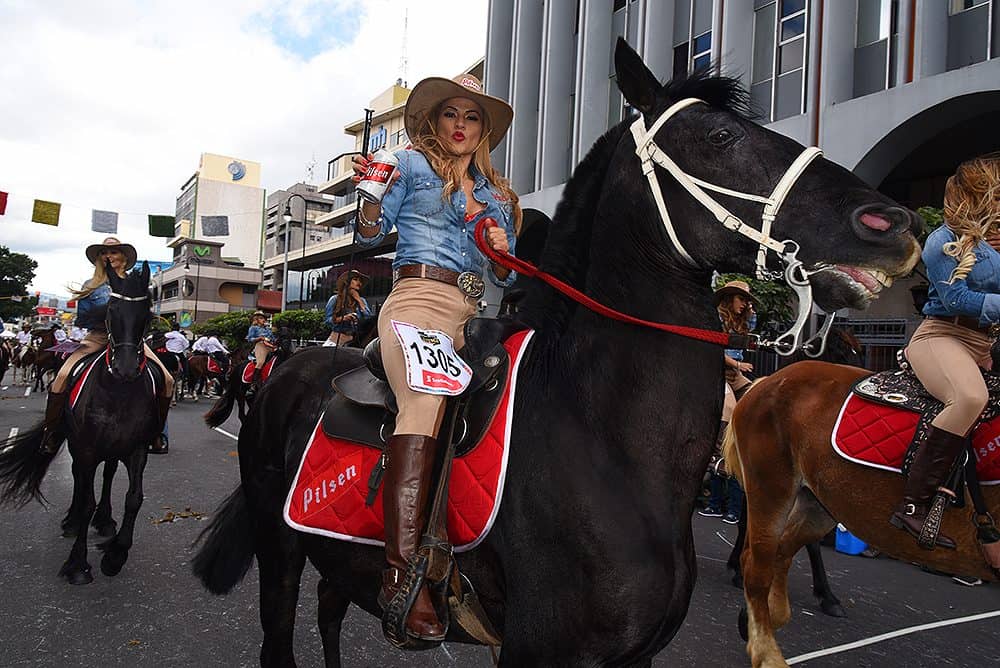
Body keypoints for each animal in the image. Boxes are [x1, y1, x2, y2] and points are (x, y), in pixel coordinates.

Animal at [0, 262, 162, 584]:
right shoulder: (86, 448)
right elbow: (86, 498)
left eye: (147, 313)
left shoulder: (137, 448)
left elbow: (134, 498)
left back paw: (105, 520)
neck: (118, 391)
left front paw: (115, 555)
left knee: (108, 475)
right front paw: (77, 563)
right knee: (78, 477)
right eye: (111, 310)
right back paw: (73, 521)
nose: (126, 368)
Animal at [189, 43, 920, 668]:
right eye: (720, 137)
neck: (603, 444)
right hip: (280, 550)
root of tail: (287, 369)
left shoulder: (633, 656)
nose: (893, 223)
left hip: (338, 559)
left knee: (331, 610)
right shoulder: (540, 650)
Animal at [720, 362, 1000, 664]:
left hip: (822, 503)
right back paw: (767, 652)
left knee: (784, 551)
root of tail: (768, 380)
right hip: (771, 489)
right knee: (757, 568)